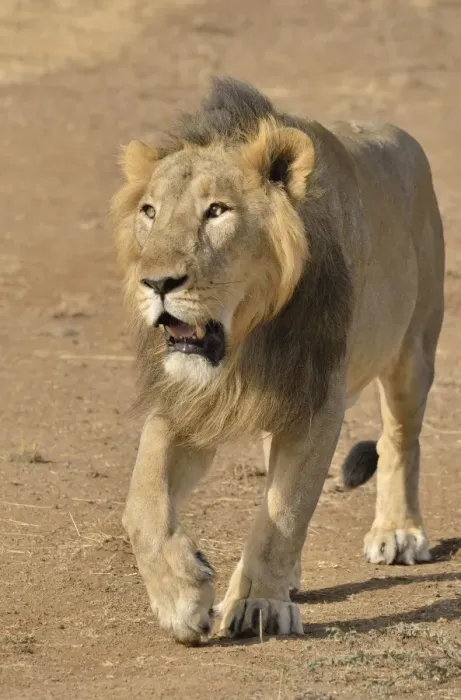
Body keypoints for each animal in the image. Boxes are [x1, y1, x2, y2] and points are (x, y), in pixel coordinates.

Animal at [112, 77, 444, 645]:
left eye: (217, 211)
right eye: (149, 212)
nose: (156, 283)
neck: (246, 339)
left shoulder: (318, 401)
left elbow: (284, 511)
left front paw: (259, 605)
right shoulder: (186, 401)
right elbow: (142, 501)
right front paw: (181, 595)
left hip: (413, 352)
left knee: (399, 439)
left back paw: (398, 531)